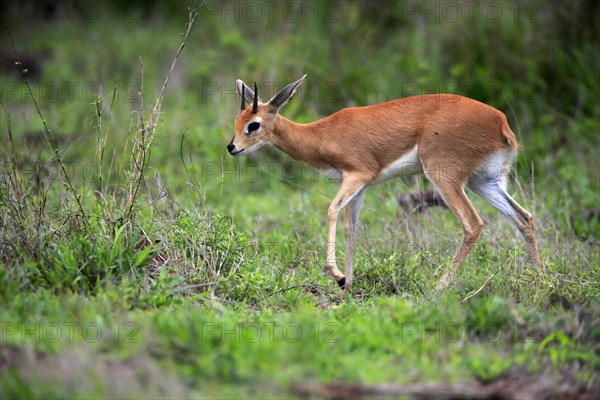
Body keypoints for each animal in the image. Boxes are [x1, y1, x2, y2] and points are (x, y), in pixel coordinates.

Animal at [226, 76, 544, 294]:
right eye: (237, 120)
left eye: (253, 124)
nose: (232, 147)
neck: (322, 134)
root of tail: (500, 122)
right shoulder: (360, 186)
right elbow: (350, 226)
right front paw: (347, 285)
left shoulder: (357, 175)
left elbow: (331, 211)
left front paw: (337, 276)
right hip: (484, 181)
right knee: (524, 218)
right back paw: (541, 282)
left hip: (444, 178)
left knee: (473, 224)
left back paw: (438, 288)